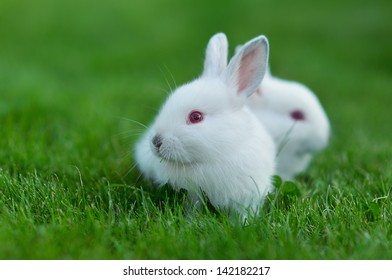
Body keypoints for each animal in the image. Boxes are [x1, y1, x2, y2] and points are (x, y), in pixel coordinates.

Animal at [135, 31, 276, 218]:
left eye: (196, 117)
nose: (157, 142)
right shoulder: (192, 194)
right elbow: (193, 208)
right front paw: (190, 220)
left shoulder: (248, 195)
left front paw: (245, 223)